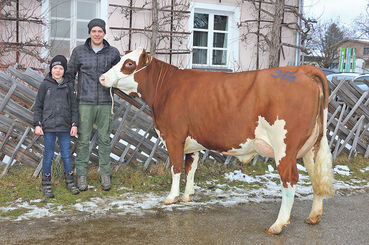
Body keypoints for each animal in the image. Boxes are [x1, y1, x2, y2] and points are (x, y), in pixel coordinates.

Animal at [100, 47, 334, 234]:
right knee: (316, 177)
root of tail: (303, 69)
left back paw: (278, 224)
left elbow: (176, 167)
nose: (102, 78)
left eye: (129, 64)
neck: (166, 88)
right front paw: (187, 195)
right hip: (312, 146)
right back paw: (314, 216)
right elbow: (191, 167)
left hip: (284, 148)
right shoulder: (191, 141)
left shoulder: (174, 136)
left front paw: (171, 197)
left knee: (290, 180)